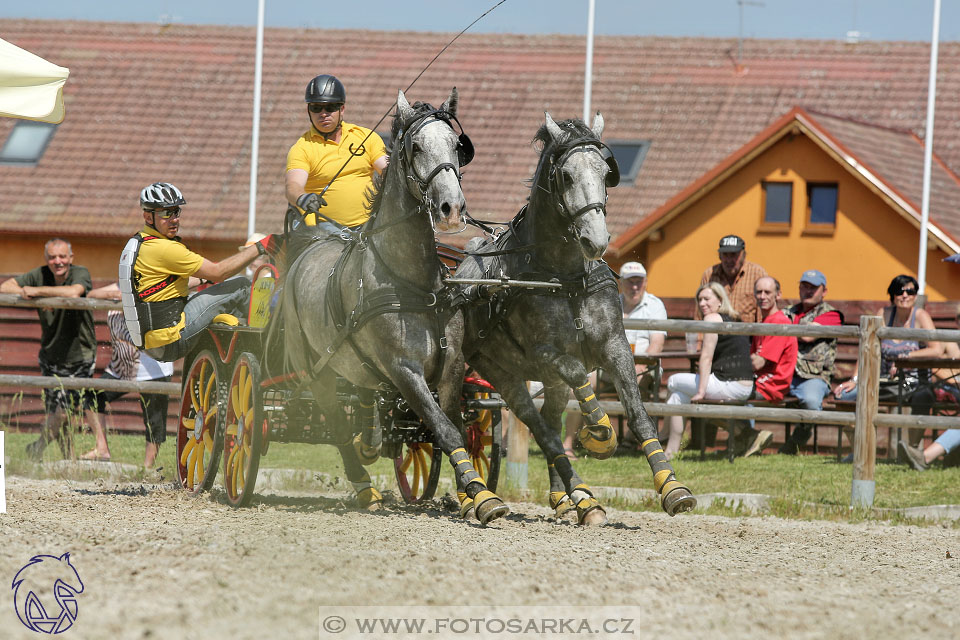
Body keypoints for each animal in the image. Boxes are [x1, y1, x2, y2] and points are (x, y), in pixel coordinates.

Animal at [276, 89, 510, 524]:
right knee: (337, 423)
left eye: (457, 145)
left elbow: (453, 428)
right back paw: (364, 488)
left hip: (360, 367)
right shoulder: (405, 371)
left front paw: (471, 493)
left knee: (366, 402)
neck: (412, 282)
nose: (452, 208)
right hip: (317, 372)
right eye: (416, 147)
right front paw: (482, 496)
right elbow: (443, 428)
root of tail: (307, 248)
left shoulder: (452, 367)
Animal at [454, 112, 692, 524]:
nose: (596, 241)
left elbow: (639, 413)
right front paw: (599, 434)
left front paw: (671, 486)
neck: (565, 279)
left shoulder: (615, 346)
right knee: (529, 425)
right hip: (497, 371)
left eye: (605, 172)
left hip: (544, 380)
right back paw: (482, 497)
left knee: (548, 421)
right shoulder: (547, 354)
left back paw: (567, 497)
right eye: (565, 175)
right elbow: (581, 375)